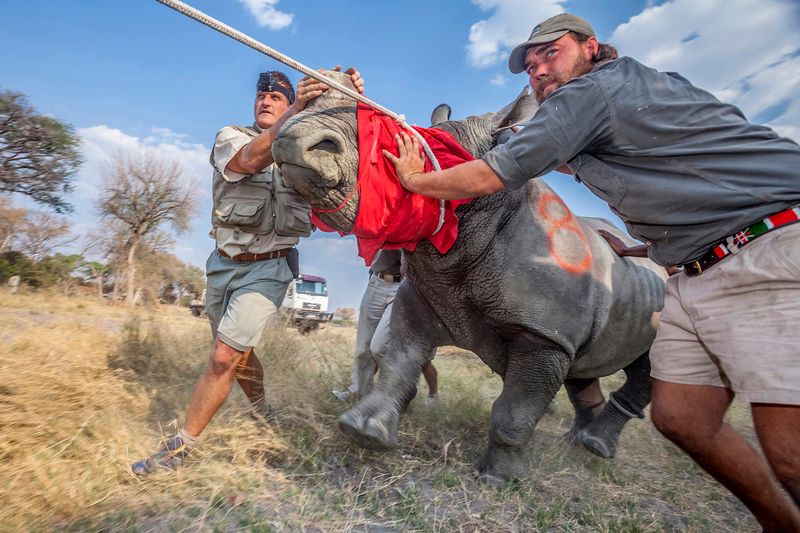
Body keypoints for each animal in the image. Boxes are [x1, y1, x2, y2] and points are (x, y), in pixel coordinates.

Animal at [272, 72, 666, 484]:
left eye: (427, 152)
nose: (293, 139)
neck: (482, 213)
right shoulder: (426, 296)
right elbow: (399, 363)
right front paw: (364, 432)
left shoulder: (543, 335)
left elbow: (514, 411)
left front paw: (500, 480)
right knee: (585, 366)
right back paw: (576, 444)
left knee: (647, 366)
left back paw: (596, 447)